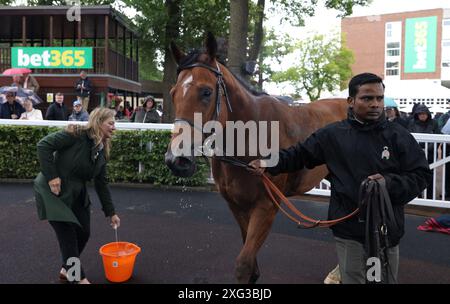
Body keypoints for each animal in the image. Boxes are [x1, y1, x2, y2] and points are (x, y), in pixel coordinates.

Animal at [164, 32, 348, 282]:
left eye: (206, 92)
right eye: (173, 94)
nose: (176, 160)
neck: (248, 137)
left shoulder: (266, 206)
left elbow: (243, 264)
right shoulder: (236, 205)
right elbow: (250, 263)